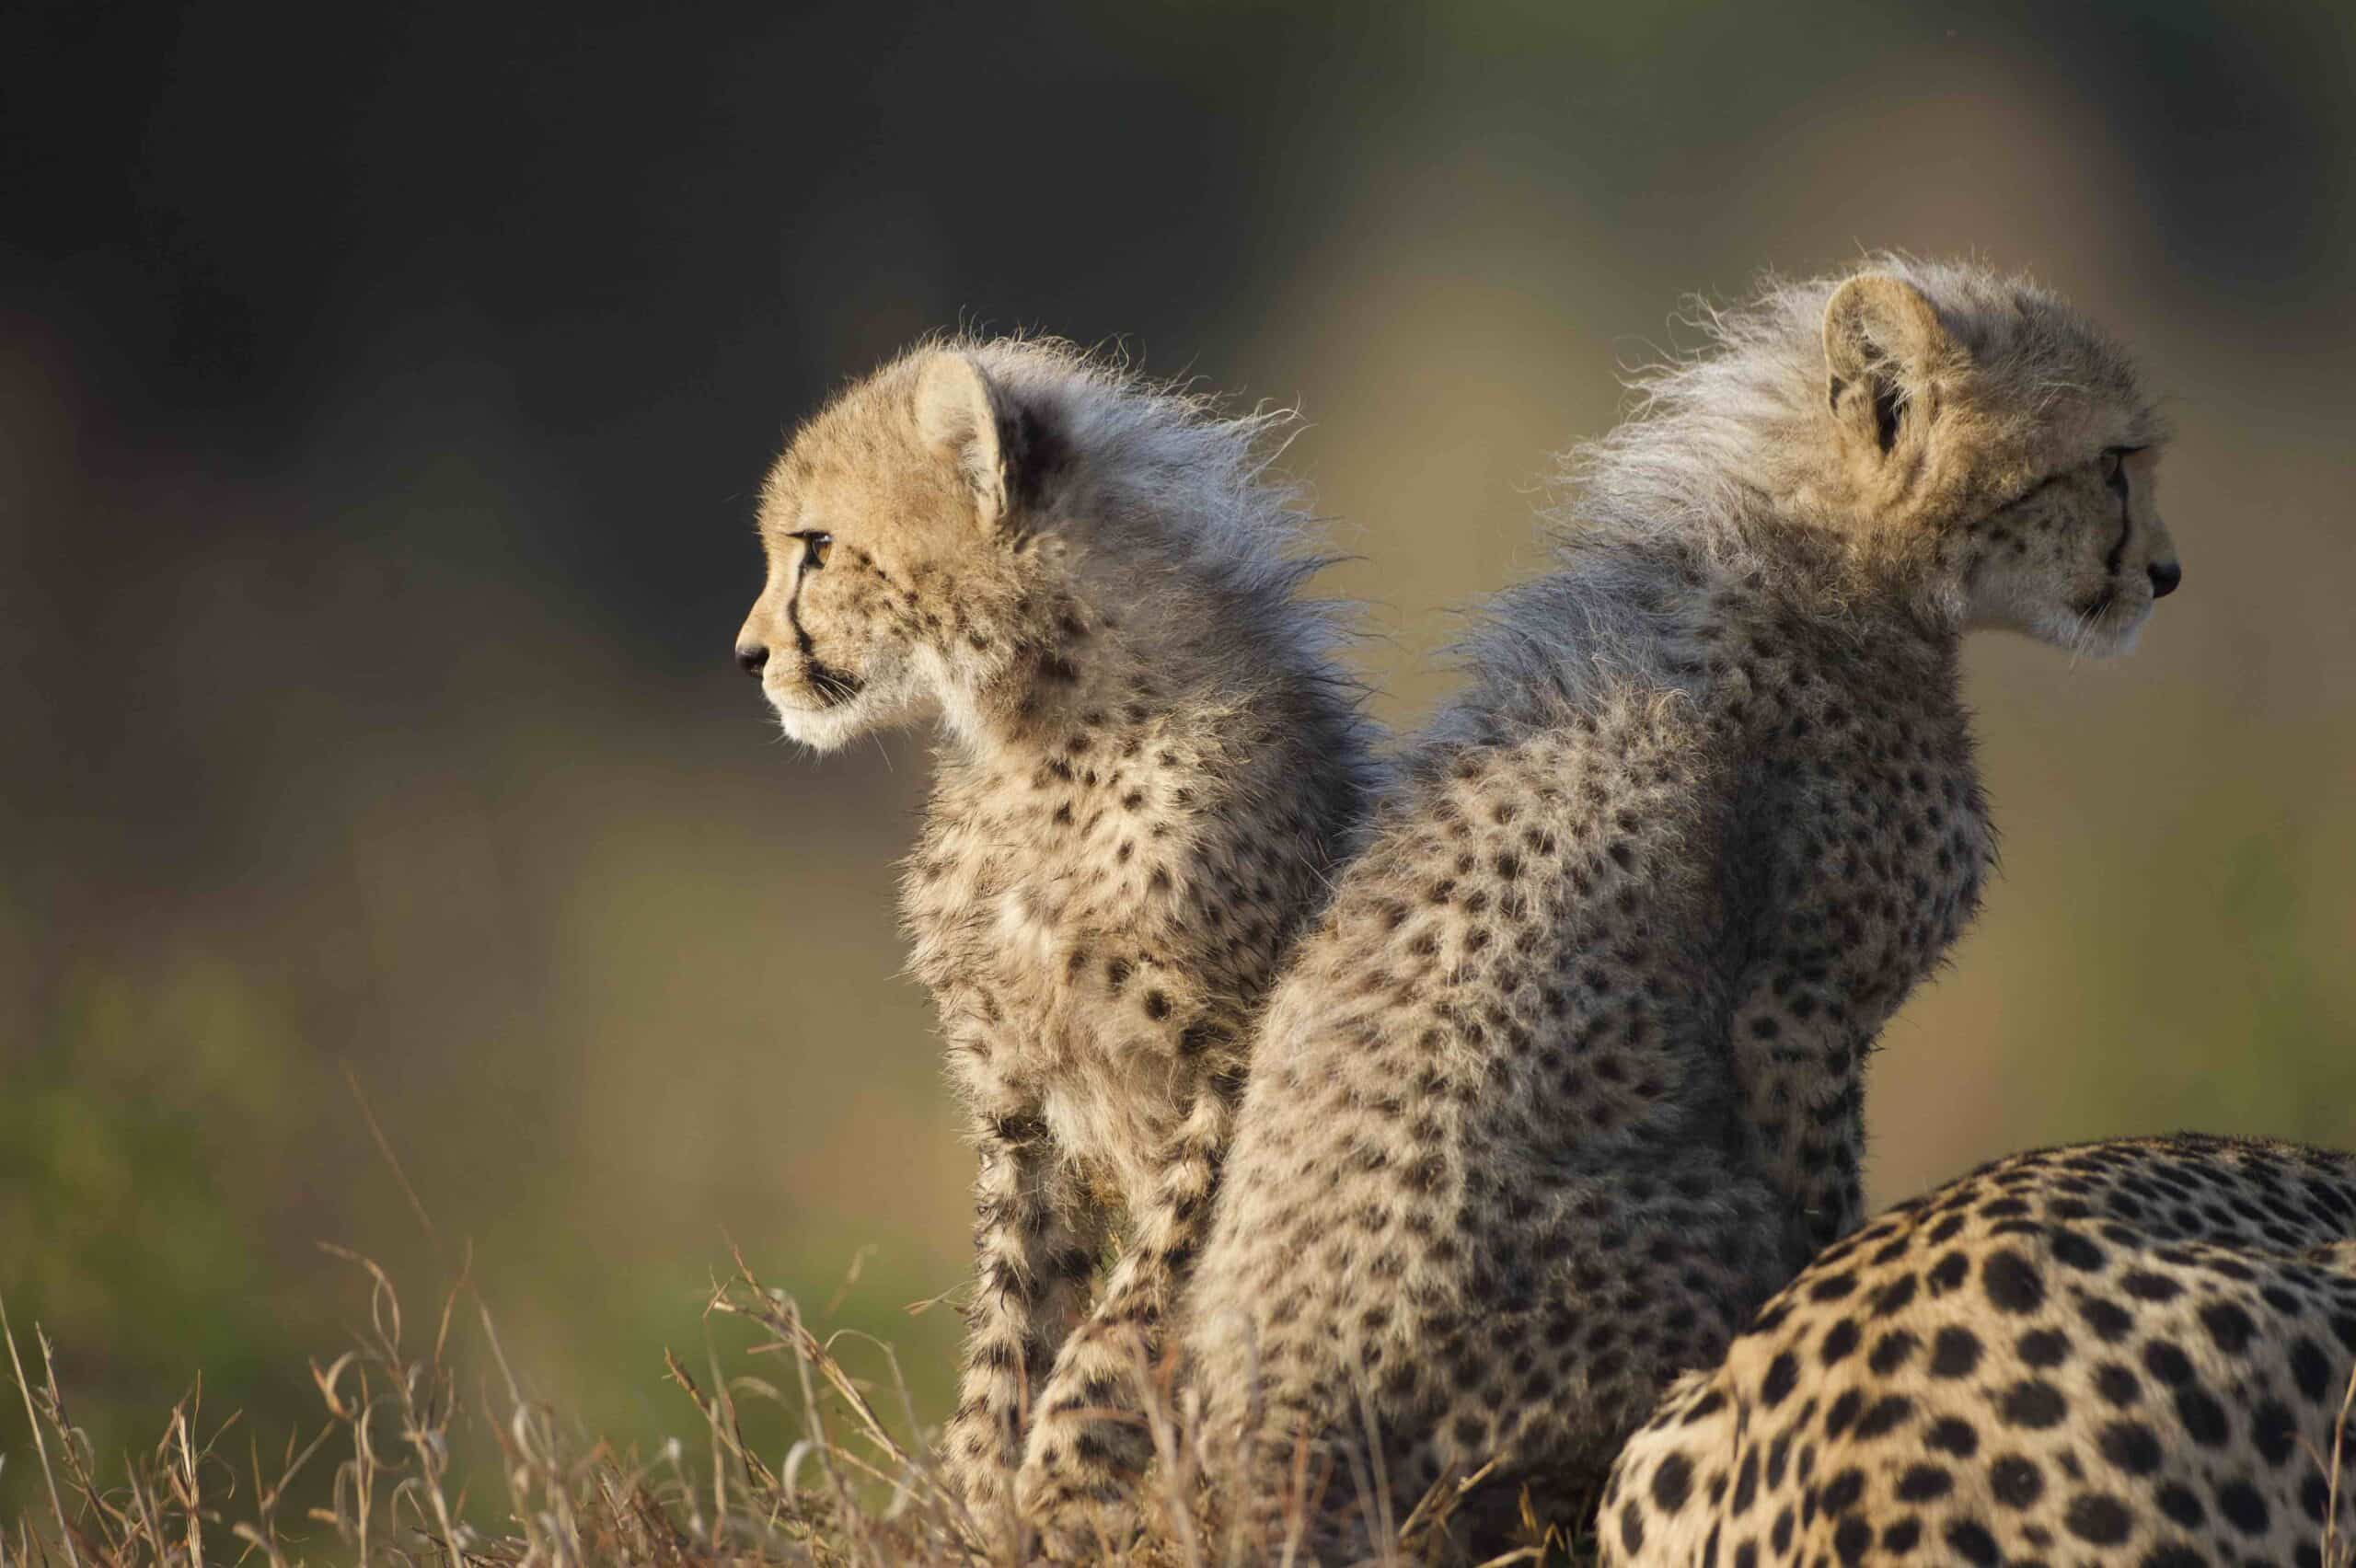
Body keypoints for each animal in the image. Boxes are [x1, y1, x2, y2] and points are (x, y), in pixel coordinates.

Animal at [732, 336, 1379, 1553]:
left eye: (818, 547)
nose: (748, 655)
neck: (1035, 741)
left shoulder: (1233, 1066)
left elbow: (1138, 1300)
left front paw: (1073, 1468)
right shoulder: (1019, 1106)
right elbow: (1011, 1317)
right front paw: (989, 1493)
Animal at [1176, 258, 2184, 1560]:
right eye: (2110, 462)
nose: (2167, 573)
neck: (1834, 561)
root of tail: (1280, 1439)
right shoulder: (1800, 1007)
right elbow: (1823, 1216)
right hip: (1687, 1238)